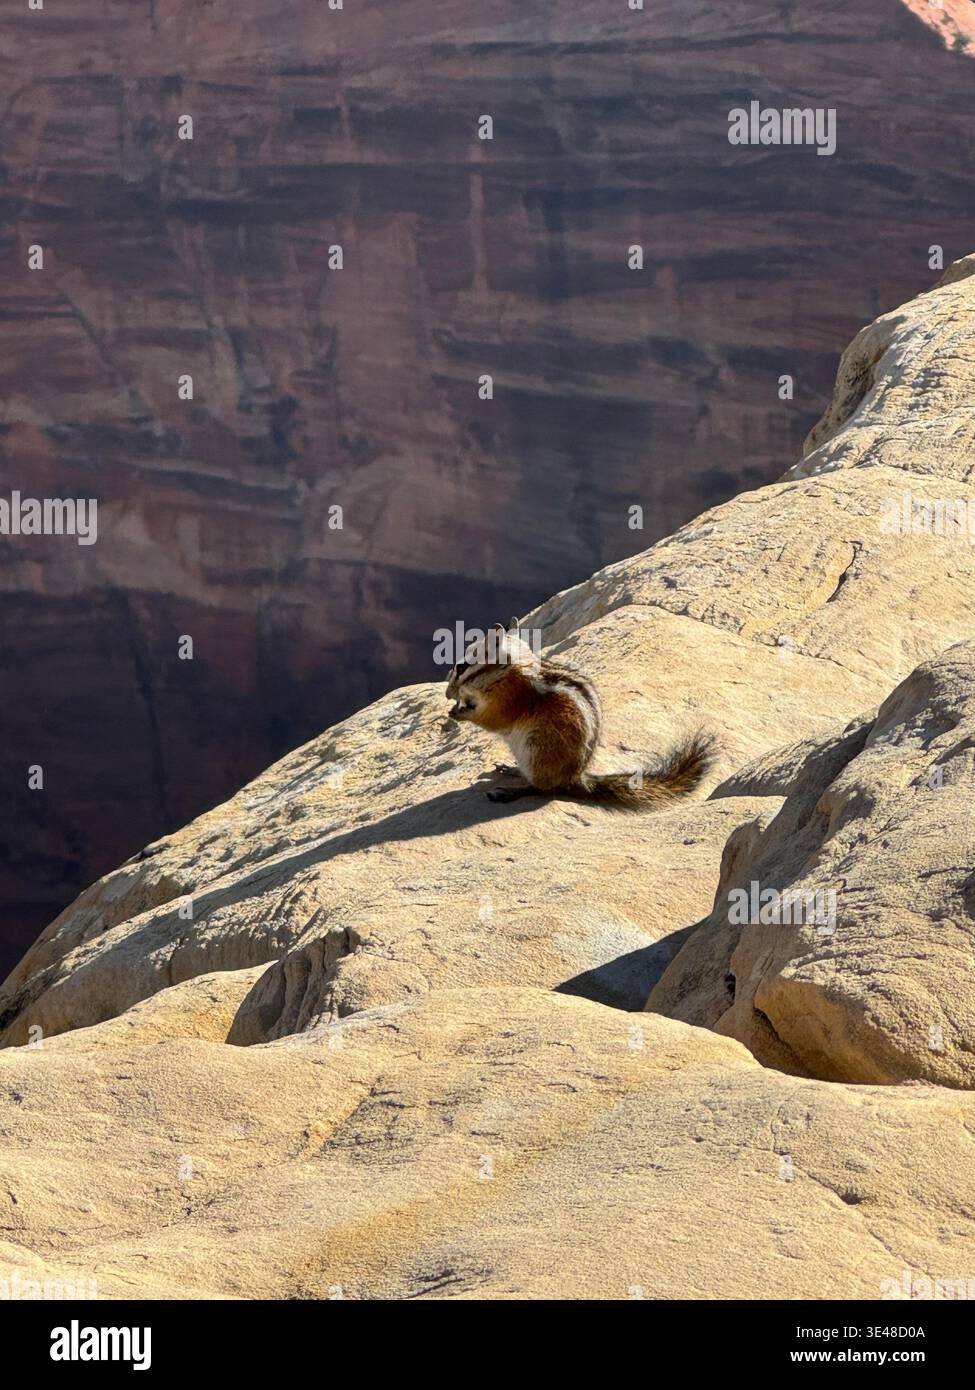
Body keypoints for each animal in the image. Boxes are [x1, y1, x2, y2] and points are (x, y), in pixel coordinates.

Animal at [445, 621, 716, 809]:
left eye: (462, 667)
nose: (448, 693)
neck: (507, 671)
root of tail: (577, 778)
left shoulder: (509, 699)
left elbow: (493, 719)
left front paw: (460, 713)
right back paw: (510, 769)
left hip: (537, 751)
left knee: (545, 789)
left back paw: (508, 791)